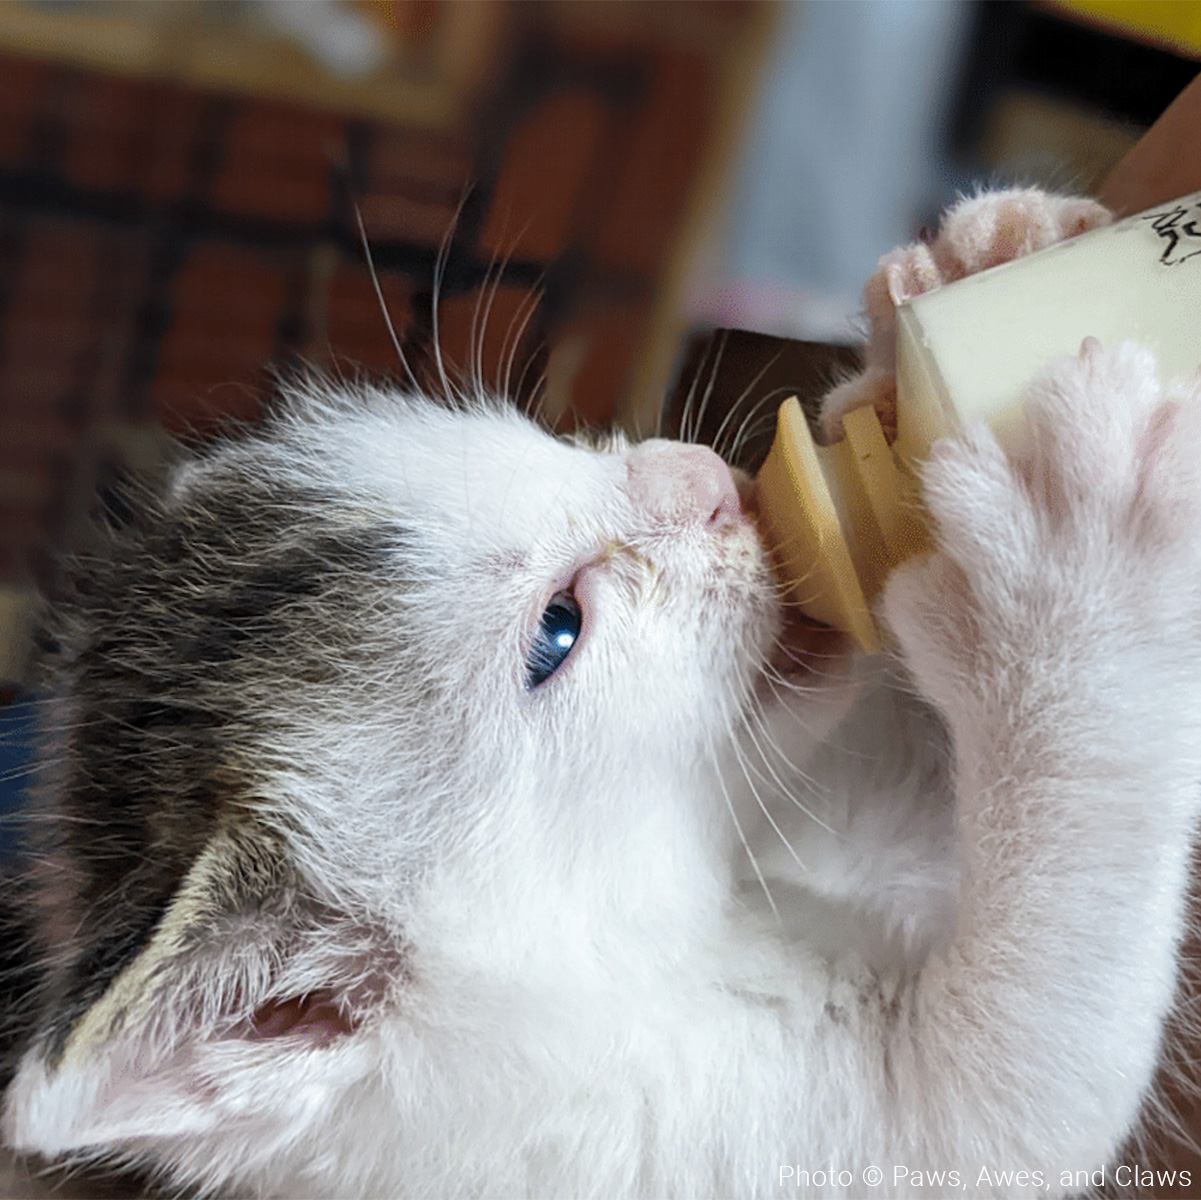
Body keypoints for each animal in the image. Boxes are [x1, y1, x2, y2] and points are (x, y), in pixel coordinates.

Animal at [2, 189, 1201, 1200]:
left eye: (540, 439)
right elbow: (1015, 1080)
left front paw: (961, 286)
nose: (704, 480)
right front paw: (1072, 580)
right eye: (557, 630)